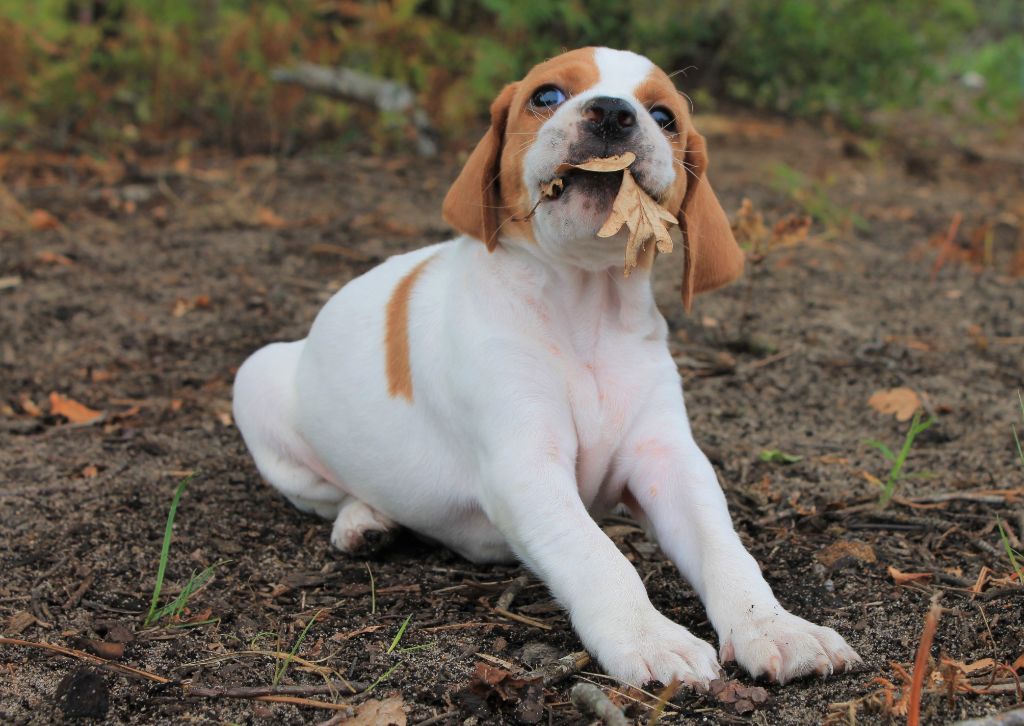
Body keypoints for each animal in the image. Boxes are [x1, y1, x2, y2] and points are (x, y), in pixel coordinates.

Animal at [230, 46, 856, 684]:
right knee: (333, 491)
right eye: (548, 96)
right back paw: (362, 521)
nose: (613, 113)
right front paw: (650, 637)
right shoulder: (526, 468)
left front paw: (776, 627)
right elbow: (599, 557)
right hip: (255, 379)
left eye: (664, 116)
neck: (584, 310)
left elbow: (726, 549)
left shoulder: (670, 460)